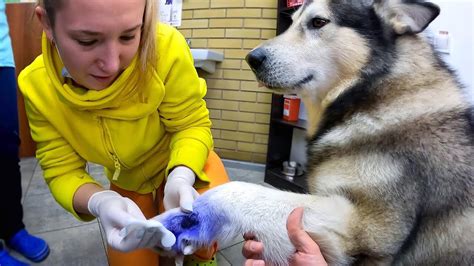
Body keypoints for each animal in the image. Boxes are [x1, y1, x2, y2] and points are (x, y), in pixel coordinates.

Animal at [156, 1, 474, 264]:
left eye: (318, 22)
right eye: (291, 21)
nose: (251, 59)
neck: (370, 96)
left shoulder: (357, 228)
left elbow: (238, 191)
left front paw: (186, 218)